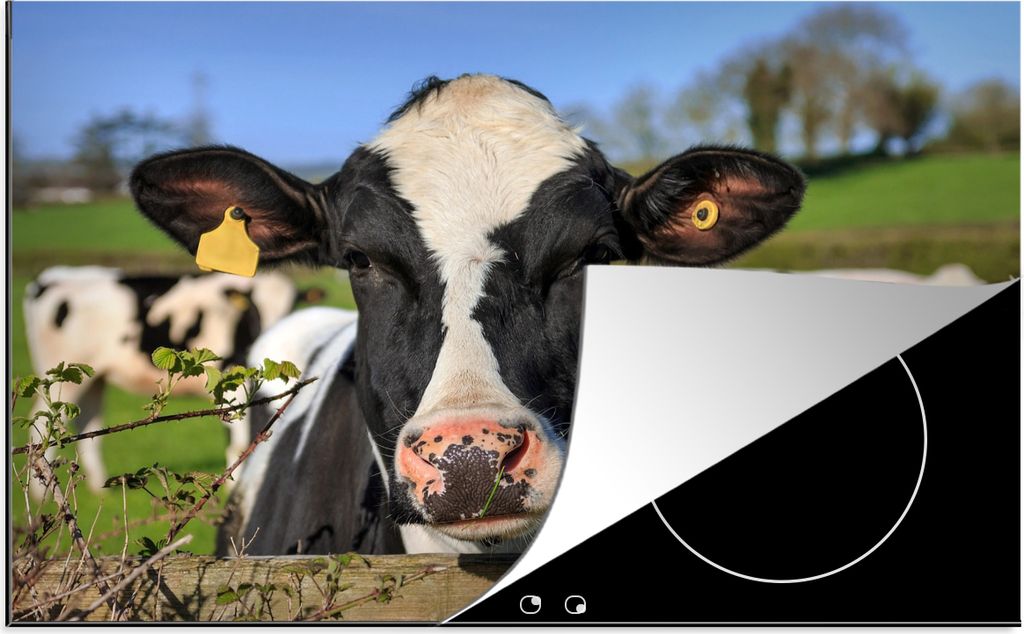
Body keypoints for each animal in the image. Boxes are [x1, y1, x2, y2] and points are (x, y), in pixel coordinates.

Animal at [23, 266, 318, 499]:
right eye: (253, 310)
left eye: (292, 309)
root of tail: (53, 276)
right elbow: (239, 441)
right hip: (61, 375)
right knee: (44, 420)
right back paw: (41, 494)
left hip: (93, 378)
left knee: (88, 422)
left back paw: (98, 489)